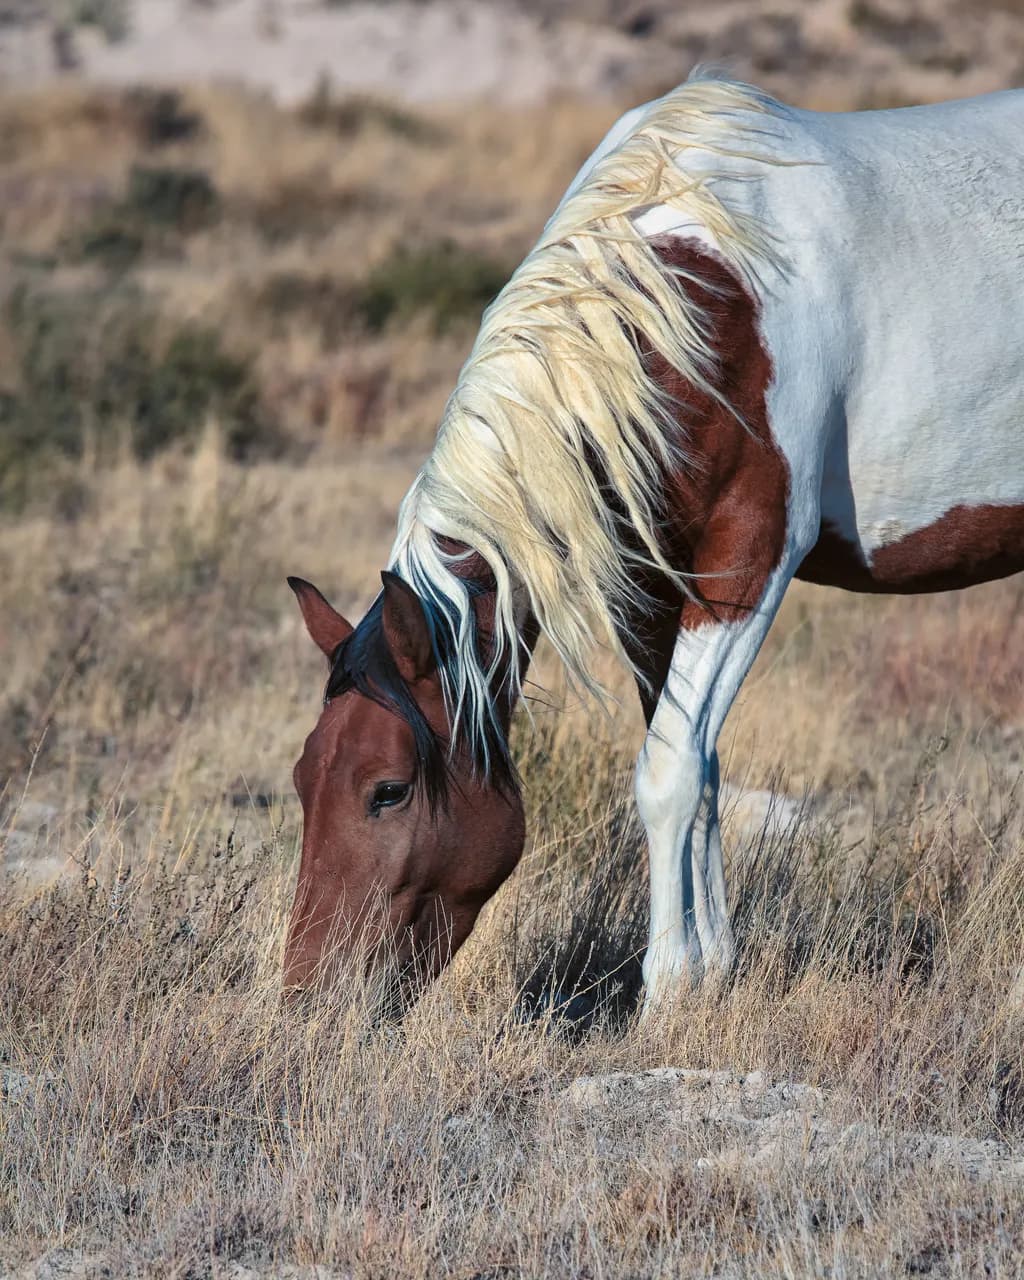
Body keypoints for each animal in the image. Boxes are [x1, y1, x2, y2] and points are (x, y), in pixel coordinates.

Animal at [284, 73, 1024, 1011]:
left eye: (387, 791)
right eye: (304, 778)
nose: (307, 997)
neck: (700, 306)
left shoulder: (747, 568)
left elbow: (668, 774)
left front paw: (668, 990)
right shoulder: (649, 589)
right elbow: (698, 771)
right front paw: (713, 973)